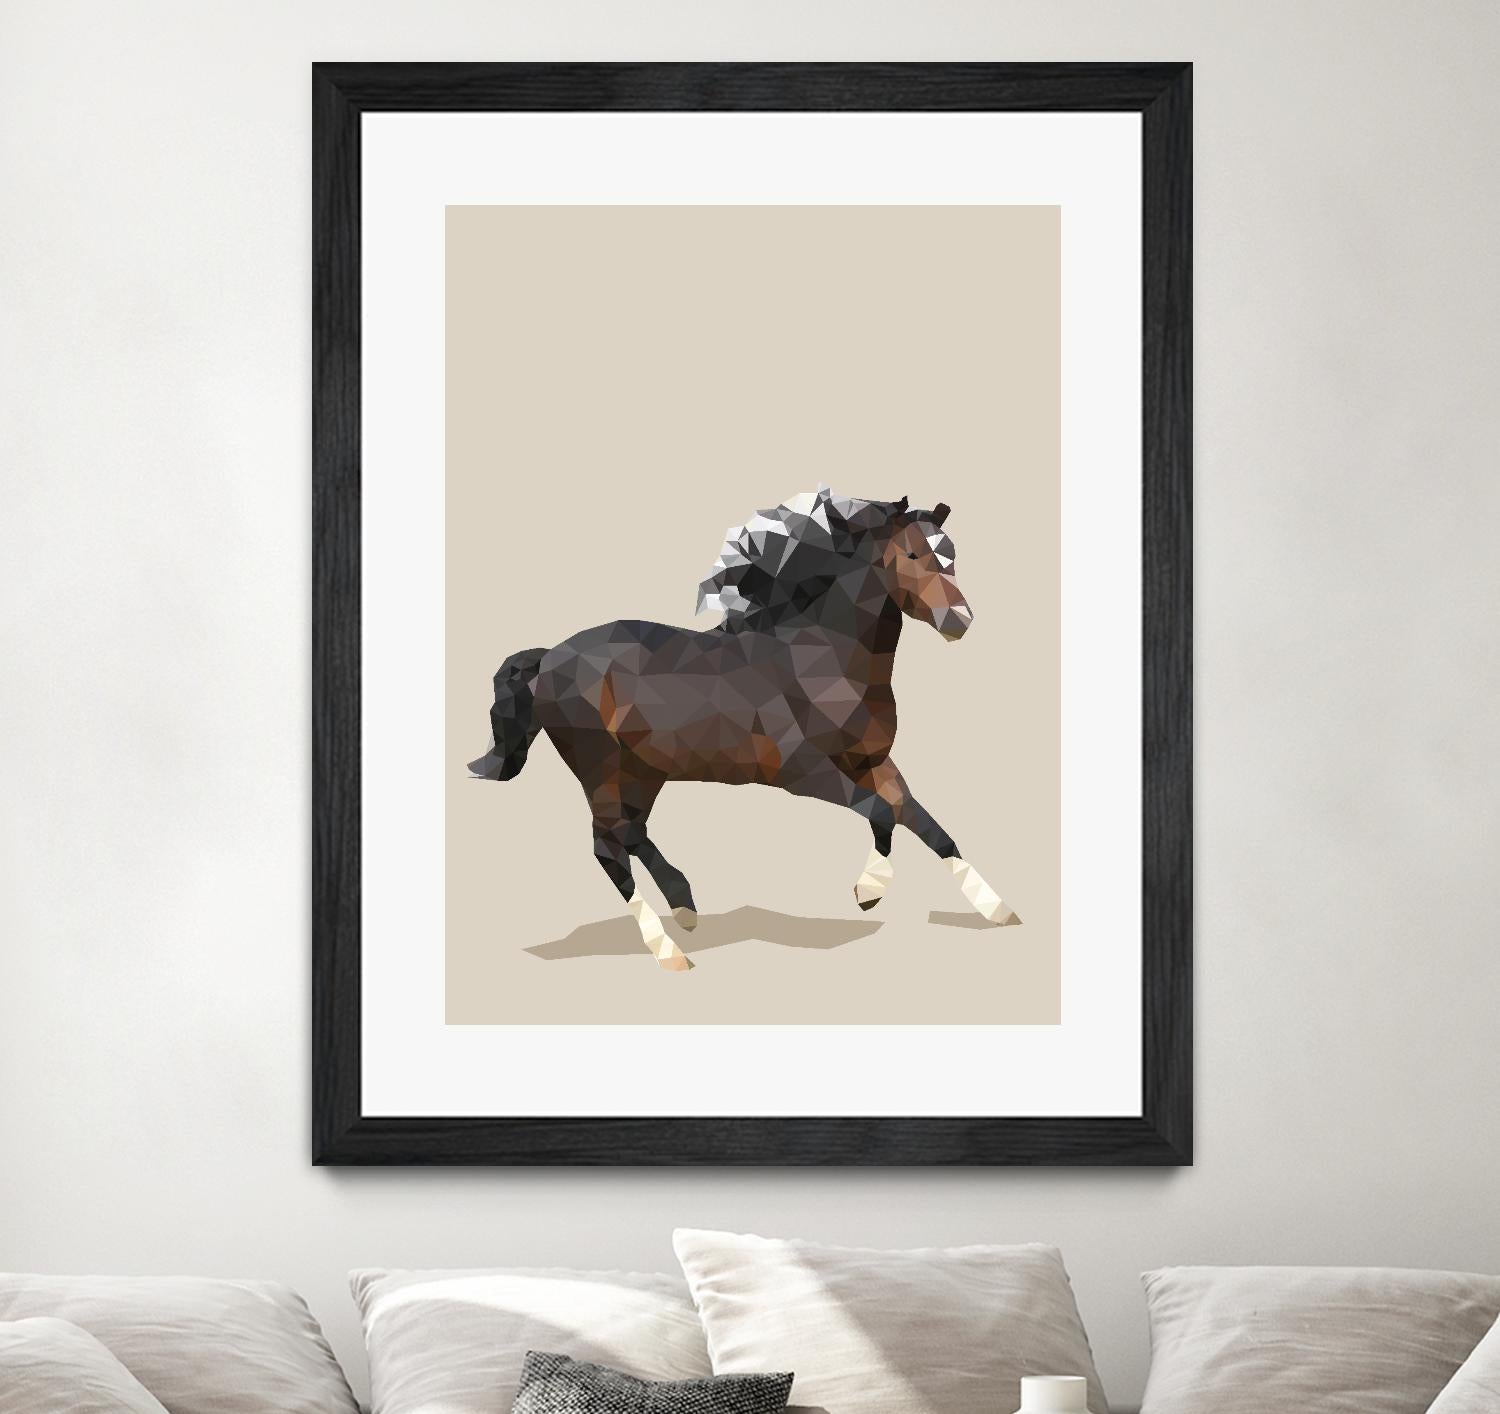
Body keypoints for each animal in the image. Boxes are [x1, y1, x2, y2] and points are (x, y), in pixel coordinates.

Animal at [467, 486, 1021, 971]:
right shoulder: (803, 772)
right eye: (911, 553)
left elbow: (922, 821)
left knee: (631, 832)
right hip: (599, 767)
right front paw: (872, 891)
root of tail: (549, 658)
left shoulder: (871, 758)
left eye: (951, 553)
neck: (823, 659)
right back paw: (671, 954)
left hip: (643, 771)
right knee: (607, 844)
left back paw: (686, 908)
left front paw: (996, 909)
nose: (959, 620)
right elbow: (883, 811)